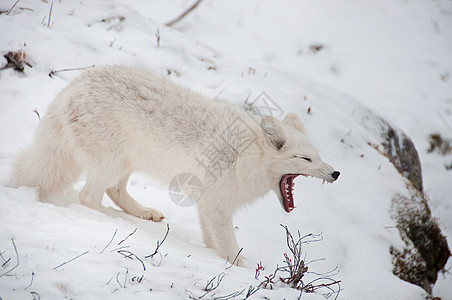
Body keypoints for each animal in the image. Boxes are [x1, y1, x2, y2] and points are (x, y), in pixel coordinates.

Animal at [11, 65, 340, 264]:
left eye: (318, 156)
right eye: (305, 159)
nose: (336, 173)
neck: (245, 156)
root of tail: (73, 87)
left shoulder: (209, 205)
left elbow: (212, 242)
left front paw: (213, 256)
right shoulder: (217, 205)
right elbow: (231, 249)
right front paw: (248, 271)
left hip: (125, 163)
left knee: (114, 191)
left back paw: (143, 213)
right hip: (111, 163)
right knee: (88, 197)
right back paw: (113, 221)